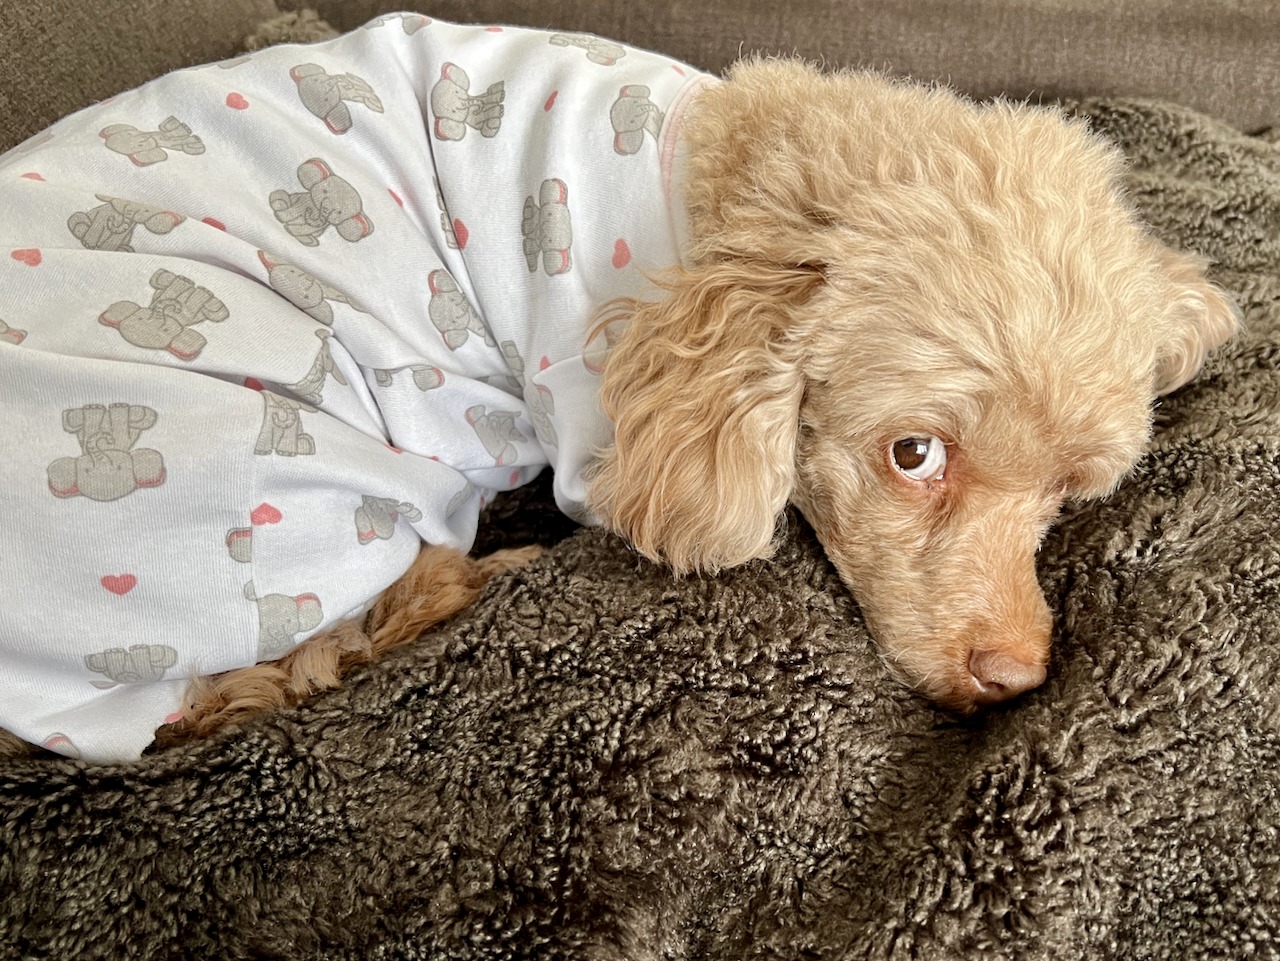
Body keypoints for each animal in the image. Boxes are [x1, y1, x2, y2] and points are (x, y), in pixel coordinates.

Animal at [0, 17, 1237, 761]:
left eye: (1068, 494)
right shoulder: (590, 413)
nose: (1014, 677)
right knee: (310, 646)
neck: (737, 182)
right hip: (290, 462)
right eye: (912, 454)